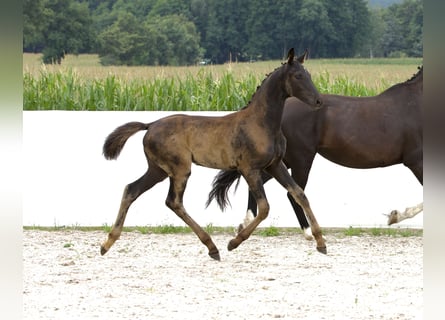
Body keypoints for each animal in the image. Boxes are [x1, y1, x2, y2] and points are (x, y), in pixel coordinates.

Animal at [99, 48, 322, 262]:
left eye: (309, 74)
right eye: (298, 76)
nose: (319, 101)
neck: (261, 123)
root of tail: (150, 125)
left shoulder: (275, 165)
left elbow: (300, 194)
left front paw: (321, 242)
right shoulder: (249, 169)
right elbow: (265, 207)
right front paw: (234, 242)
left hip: (158, 170)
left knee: (132, 190)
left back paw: (107, 243)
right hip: (180, 169)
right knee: (173, 201)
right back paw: (212, 247)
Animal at [206, 67, 422, 238]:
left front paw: (394, 215)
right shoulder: (416, 161)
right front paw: (395, 217)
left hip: (281, 161)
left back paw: (245, 224)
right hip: (301, 159)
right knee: (293, 193)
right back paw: (310, 232)